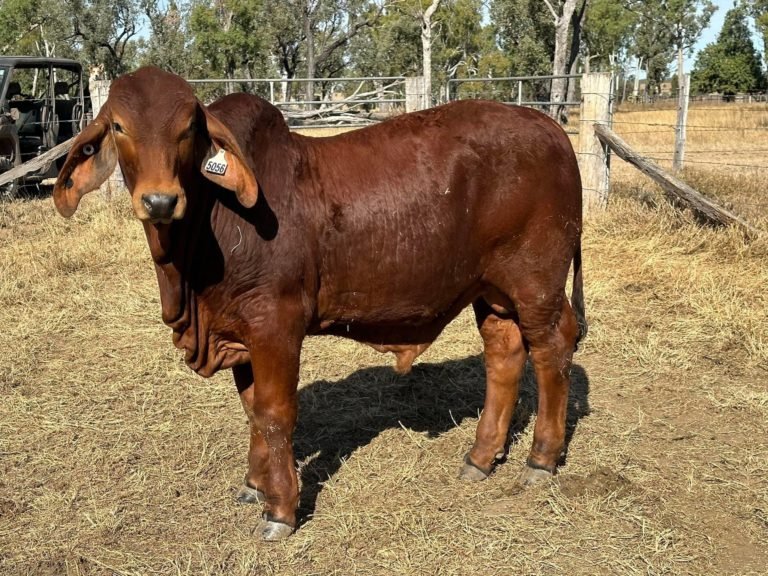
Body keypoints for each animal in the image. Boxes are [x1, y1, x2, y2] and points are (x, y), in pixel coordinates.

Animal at [53, 67, 586, 541]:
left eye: (188, 127)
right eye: (120, 126)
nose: (160, 201)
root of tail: (549, 128)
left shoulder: (275, 324)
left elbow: (274, 413)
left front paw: (280, 510)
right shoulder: (239, 332)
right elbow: (251, 410)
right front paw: (255, 485)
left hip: (536, 283)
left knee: (552, 350)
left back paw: (541, 459)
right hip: (491, 292)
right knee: (504, 353)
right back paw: (480, 457)